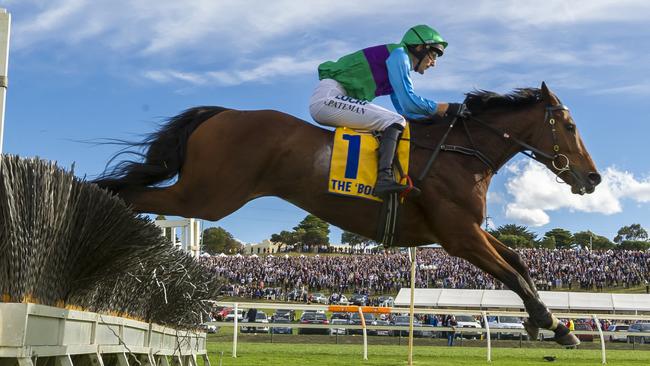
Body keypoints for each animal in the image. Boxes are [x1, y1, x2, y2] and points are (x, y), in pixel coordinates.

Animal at [95, 82, 596, 346]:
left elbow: (519, 262)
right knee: (128, 195)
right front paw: (551, 322)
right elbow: (510, 273)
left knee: (129, 194)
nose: (592, 178)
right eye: (570, 126)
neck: (460, 153)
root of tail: (220, 114)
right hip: (206, 196)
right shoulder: (458, 235)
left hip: (203, 195)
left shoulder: (468, 230)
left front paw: (549, 322)